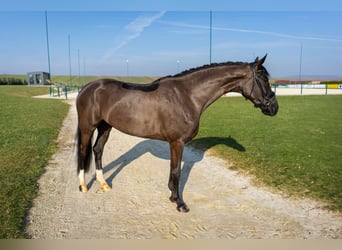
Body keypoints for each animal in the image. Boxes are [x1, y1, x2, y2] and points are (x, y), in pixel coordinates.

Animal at [75, 54, 278, 211]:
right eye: (264, 78)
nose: (274, 108)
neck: (187, 95)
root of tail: (87, 87)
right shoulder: (177, 142)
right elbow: (176, 172)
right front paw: (179, 203)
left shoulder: (175, 143)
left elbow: (174, 170)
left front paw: (173, 197)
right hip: (88, 127)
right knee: (84, 152)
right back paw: (83, 185)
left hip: (105, 127)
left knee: (98, 150)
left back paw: (103, 183)